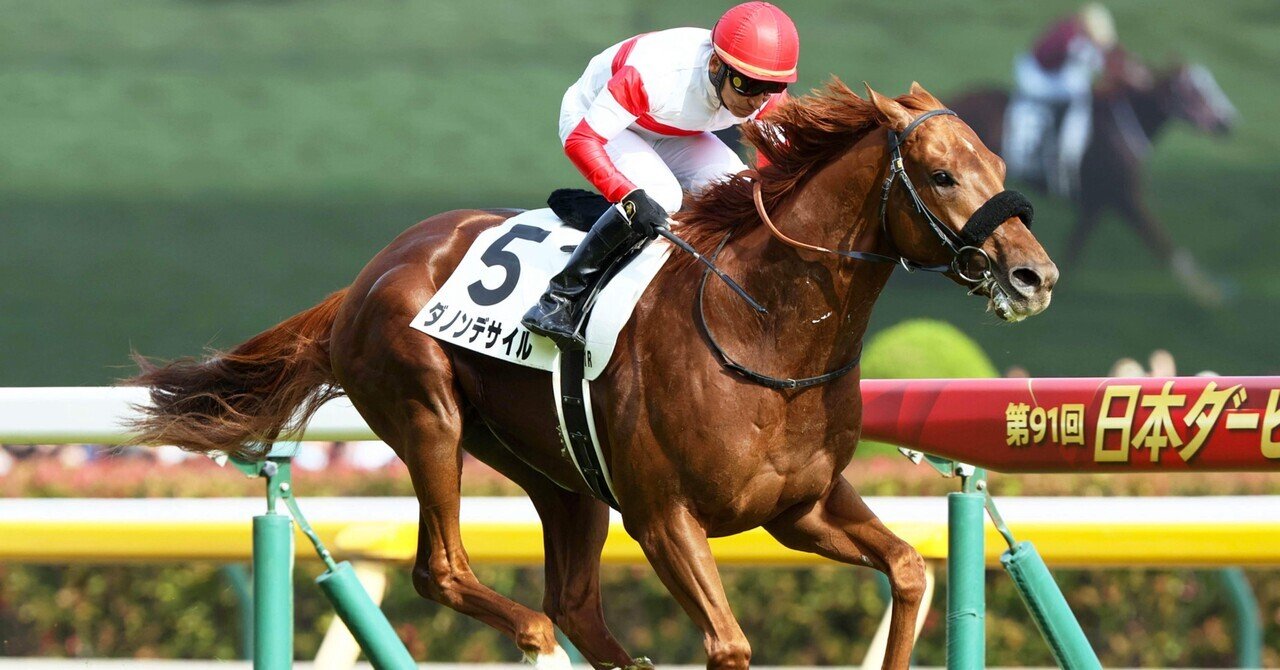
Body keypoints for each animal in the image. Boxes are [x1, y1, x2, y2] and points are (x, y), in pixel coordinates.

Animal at [124, 80, 1056, 670]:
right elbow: (729, 644)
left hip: (558, 472)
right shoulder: (664, 517)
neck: (764, 327)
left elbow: (909, 571)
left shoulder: (802, 507)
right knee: (447, 572)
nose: (1034, 276)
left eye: (1003, 169)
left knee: (573, 599)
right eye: (941, 174)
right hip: (429, 416)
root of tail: (366, 275)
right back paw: (532, 635)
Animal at [947, 62, 1237, 305]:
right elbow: (1162, 242)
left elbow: (1075, 247)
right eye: (1193, 91)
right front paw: (1210, 294)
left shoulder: (1097, 203)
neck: (1120, 126)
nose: (1227, 121)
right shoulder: (1124, 198)